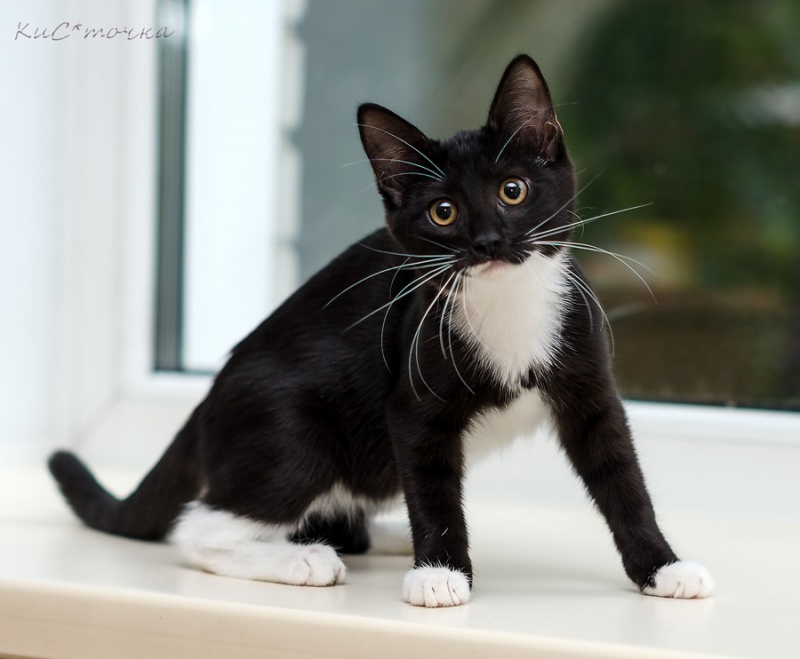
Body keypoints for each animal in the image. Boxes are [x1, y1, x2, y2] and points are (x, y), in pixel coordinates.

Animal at [48, 54, 713, 607]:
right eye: (443, 212)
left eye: (513, 190)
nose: (488, 242)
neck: (506, 303)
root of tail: (208, 397)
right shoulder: (413, 398)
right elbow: (431, 483)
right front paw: (441, 574)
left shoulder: (588, 382)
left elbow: (622, 477)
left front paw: (663, 567)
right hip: (295, 430)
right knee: (202, 527)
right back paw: (303, 561)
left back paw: (380, 537)